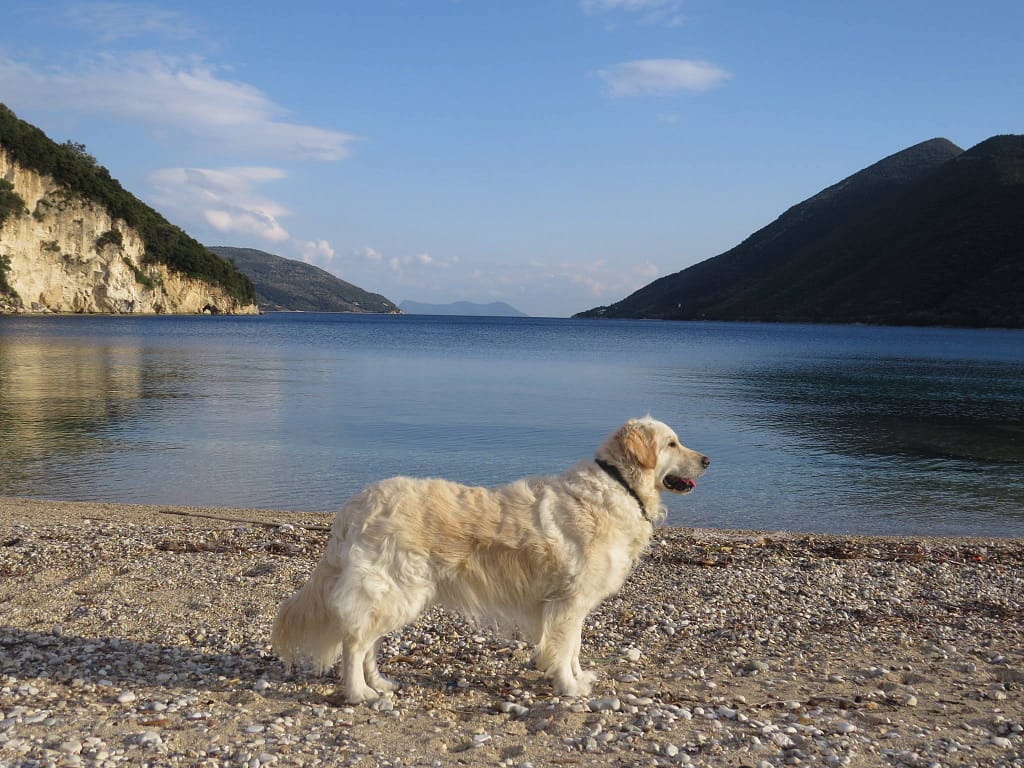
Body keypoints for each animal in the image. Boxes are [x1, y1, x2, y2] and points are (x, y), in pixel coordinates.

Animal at [268, 417, 708, 708]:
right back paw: (358, 692)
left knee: (367, 642)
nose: (707, 460)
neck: (620, 485)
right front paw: (568, 687)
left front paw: (581, 676)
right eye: (671, 444)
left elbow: (576, 647)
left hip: (392, 594)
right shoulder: (568, 601)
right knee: (354, 642)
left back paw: (380, 684)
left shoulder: (575, 603)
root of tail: (355, 505)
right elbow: (565, 648)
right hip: (394, 588)